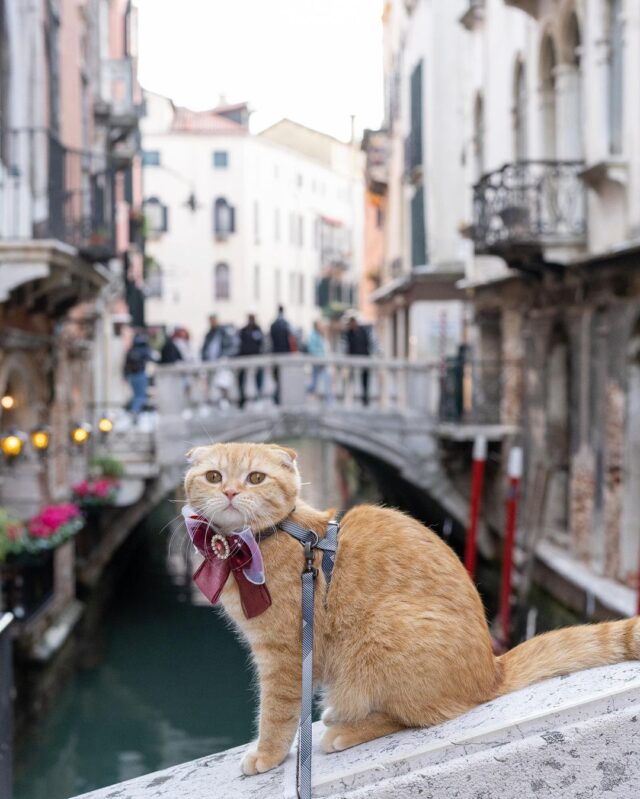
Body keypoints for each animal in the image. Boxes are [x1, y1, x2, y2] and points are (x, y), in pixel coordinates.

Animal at [182, 444, 636, 776]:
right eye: (213, 476)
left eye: (256, 478)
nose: (230, 492)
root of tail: (492, 670)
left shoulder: (284, 655)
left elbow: (276, 711)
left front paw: (267, 755)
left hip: (382, 631)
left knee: (423, 716)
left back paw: (346, 731)